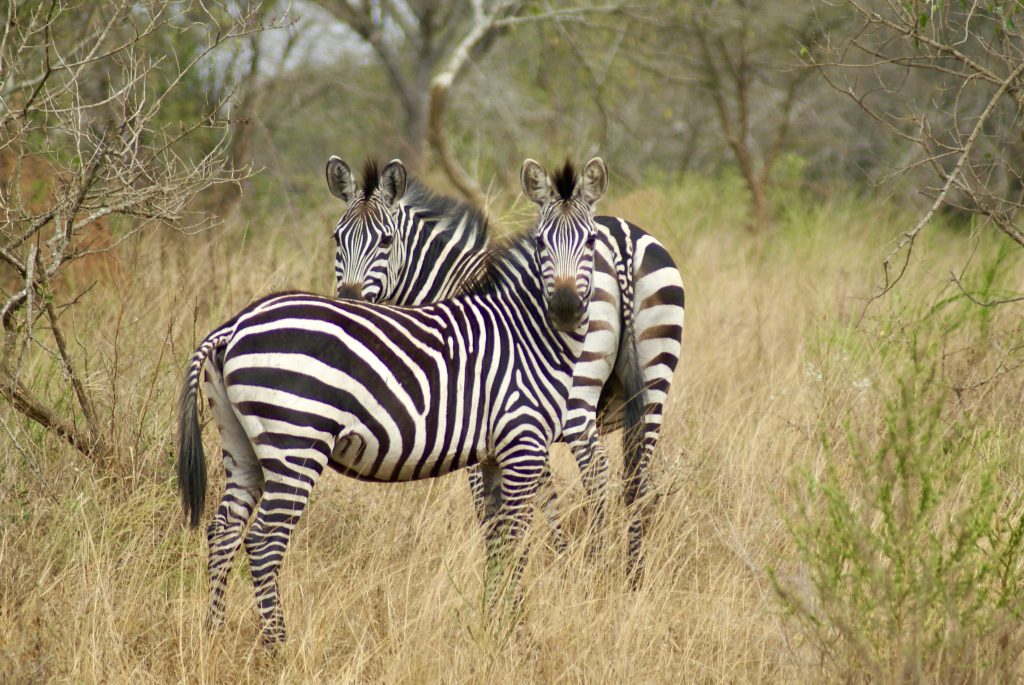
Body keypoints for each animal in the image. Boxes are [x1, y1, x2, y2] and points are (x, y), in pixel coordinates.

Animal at [177, 158, 607, 644]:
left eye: (591, 241)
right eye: (540, 242)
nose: (566, 307)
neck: (526, 332)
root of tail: (235, 324)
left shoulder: (494, 453)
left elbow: (498, 539)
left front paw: (495, 623)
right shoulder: (523, 445)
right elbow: (514, 538)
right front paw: (512, 630)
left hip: (242, 445)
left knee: (223, 531)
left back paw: (212, 635)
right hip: (296, 442)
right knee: (263, 541)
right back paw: (277, 646)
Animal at [326, 156, 685, 583]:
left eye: (385, 241)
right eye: (337, 239)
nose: (349, 302)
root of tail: (624, 244)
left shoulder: (484, 420)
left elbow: (495, 505)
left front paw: (518, 567)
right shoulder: (519, 419)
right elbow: (542, 496)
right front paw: (550, 559)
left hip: (579, 396)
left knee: (597, 471)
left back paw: (595, 570)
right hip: (654, 387)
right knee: (638, 481)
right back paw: (631, 576)